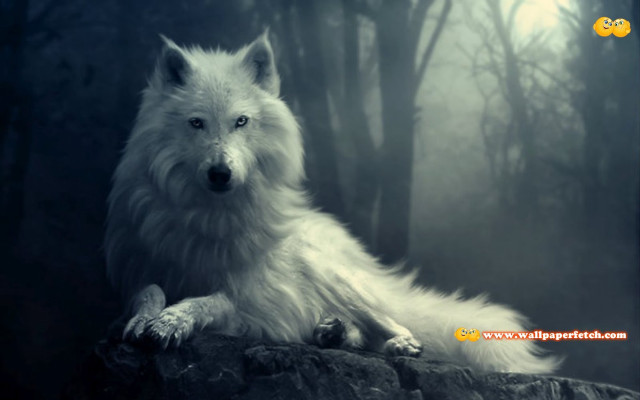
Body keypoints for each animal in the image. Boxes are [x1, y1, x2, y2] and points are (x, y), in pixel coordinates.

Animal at [105, 33, 559, 374]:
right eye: (196, 123)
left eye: (241, 122)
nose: (221, 173)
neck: (210, 216)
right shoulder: (138, 269)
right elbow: (148, 292)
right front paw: (145, 319)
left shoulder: (250, 298)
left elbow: (208, 301)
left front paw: (172, 321)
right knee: (354, 331)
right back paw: (331, 332)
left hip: (336, 278)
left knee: (396, 325)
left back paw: (396, 344)